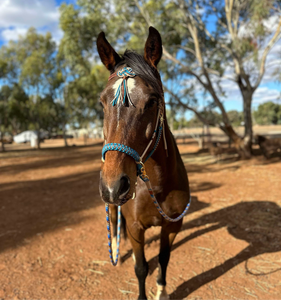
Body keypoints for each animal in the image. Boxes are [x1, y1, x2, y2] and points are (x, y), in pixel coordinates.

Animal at [96, 26, 190, 300]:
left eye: (152, 101)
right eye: (102, 102)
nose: (115, 186)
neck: (157, 186)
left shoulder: (173, 225)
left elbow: (164, 259)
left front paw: (162, 292)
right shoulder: (136, 229)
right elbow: (141, 268)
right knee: (113, 218)